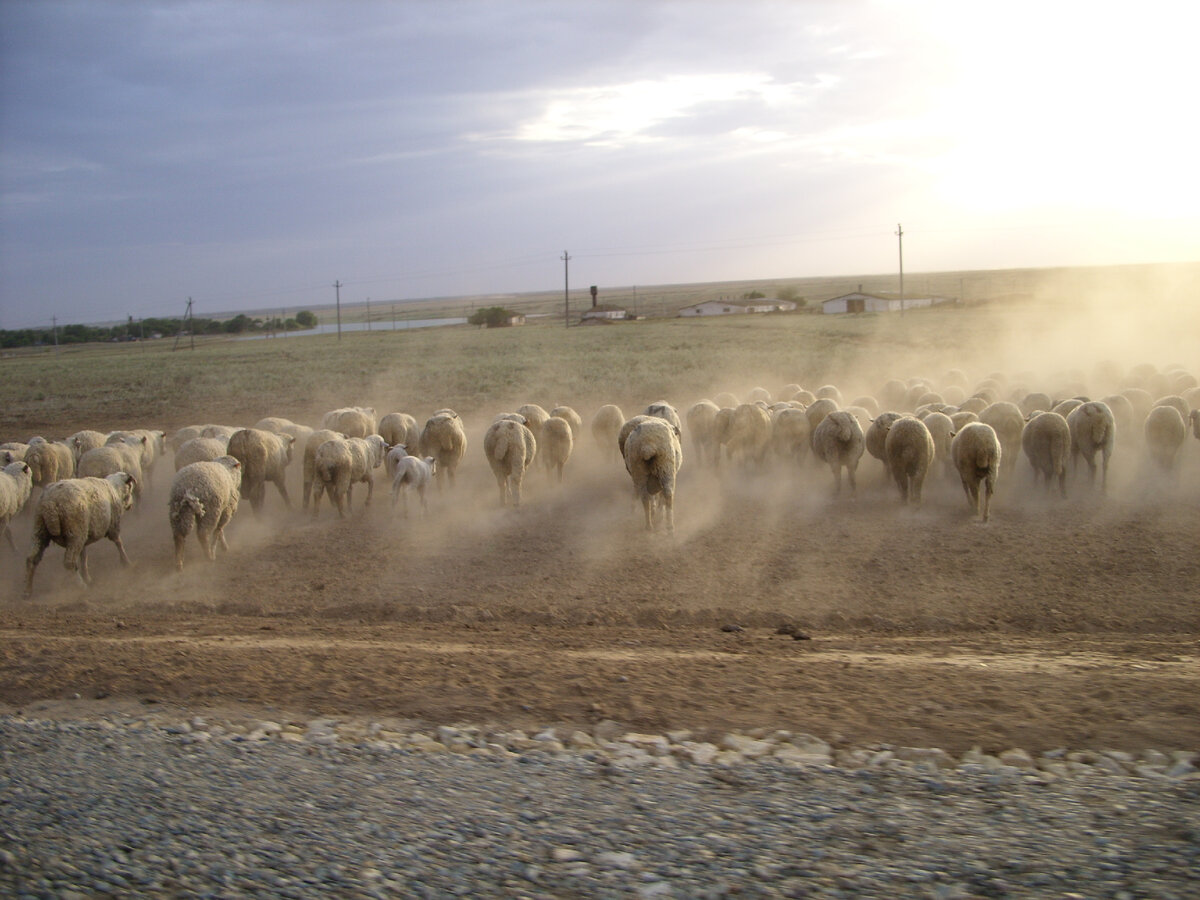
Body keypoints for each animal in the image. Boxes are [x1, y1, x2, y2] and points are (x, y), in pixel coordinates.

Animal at [23, 472, 138, 600]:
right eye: (131, 488)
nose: (131, 505)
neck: (116, 490)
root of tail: (50, 503)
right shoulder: (113, 525)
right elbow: (118, 543)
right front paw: (126, 563)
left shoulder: (85, 534)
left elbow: (84, 556)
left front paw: (87, 576)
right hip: (75, 531)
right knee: (69, 562)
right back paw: (81, 586)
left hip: (41, 529)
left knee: (31, 558)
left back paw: (27, 591)